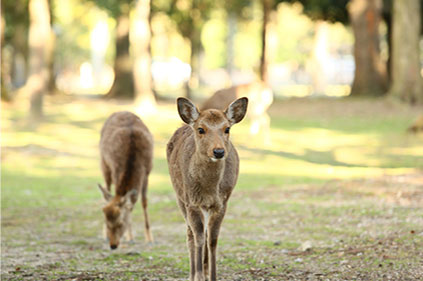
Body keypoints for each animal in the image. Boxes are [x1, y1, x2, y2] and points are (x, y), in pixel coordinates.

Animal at [98, 110, 154, 248]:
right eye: (106, 222)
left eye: (120, 223)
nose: (113, 245)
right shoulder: (115, 168)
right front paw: (130, 237)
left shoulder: (147, 172)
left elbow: (143, 202)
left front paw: (149, 238)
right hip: (104, 164)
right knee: (106, 190)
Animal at [167, 97, 248, 280]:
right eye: (201, 129)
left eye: (227, 128)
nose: (218, 151)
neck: (209, 190)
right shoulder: (191, 202)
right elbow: (198, 237)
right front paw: (198, 276)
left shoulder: (222, 203)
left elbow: (212, 240)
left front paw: (212, 276)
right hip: (179, 196)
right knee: (190, 234)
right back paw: (192, 274)